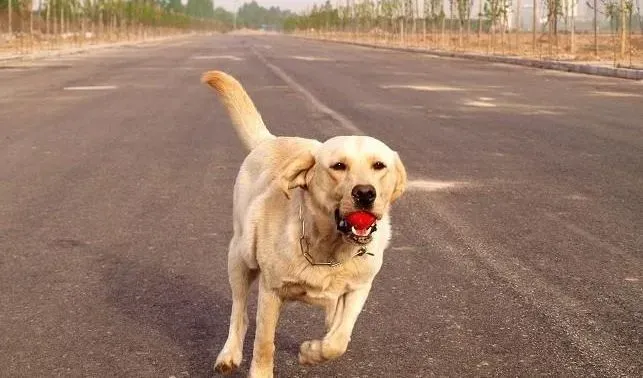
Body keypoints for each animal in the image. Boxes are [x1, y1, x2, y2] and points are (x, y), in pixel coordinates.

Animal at [201, 71, 408, 378]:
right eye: (338, 166)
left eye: (379, 165)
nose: (365, 193)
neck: (329, 249)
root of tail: (269, 140)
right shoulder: (271, 291)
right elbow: (264, 343)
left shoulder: (360, 288)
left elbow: (338, 339)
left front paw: (312, 352)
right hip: (240, 256)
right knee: (240, 313)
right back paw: (230, 353)